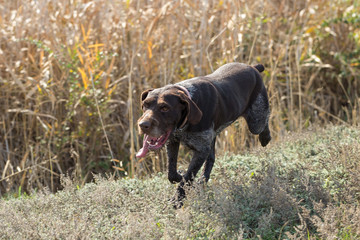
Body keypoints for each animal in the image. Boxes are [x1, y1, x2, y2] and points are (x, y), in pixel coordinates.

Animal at [136, 62, 272, 207]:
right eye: (145, 105)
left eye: (165, 108)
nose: (143, 125)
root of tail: (253, 67)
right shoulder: (173, 141)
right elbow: (171, 173)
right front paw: (180, 175)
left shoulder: (201, 150)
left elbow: (188, 176)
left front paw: (178, 198)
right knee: (211, 159)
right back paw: (202, 182)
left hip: (256, 122)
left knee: (264, 124)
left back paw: (265, 137)